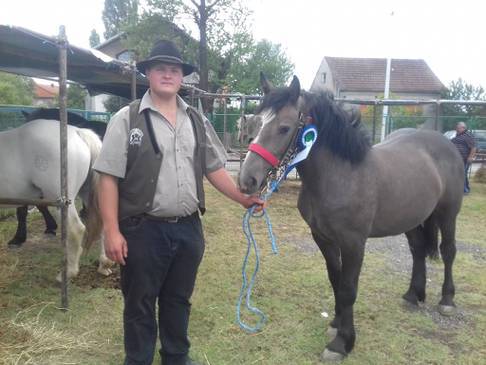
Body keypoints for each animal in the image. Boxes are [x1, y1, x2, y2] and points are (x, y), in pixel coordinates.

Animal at [238, 74, 464, 362]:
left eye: (284, 128)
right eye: (256, 122)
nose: (247, 180)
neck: (340, 173)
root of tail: (445, 143)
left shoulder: (353, 243)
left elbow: (348, 289)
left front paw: (342, 343)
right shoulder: (323, 238)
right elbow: (336, 280)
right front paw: (336, 324)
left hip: (448, 213)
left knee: (448, 251)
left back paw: (447, 300)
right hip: (411, 218)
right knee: (417, 251)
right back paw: (413, 295)